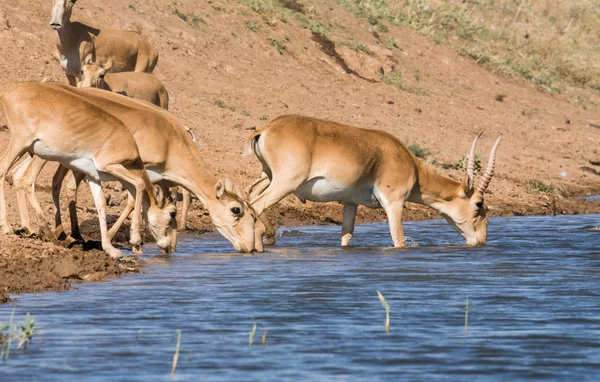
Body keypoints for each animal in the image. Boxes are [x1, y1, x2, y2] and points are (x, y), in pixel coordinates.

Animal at [0, 82, 177, 258]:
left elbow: (101, 204)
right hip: (20, 144)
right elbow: (140, 183)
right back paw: (15, 227)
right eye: (172, 213)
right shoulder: (110, 166)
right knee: (9, 172)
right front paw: (135, 240)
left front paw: (110, 249)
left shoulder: (93, 176)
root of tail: (7, 93)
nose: (169, 247)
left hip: (26, 150)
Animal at [245, 115, 502, 248]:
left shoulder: (350, 203)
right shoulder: (394, 203)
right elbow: (399, 240)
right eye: (479, 205)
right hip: (284, 183)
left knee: (250, 195)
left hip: (268, 177)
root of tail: (266, 128)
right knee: (255, 205)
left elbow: (346, 235)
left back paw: (270, 237)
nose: (480, 241)